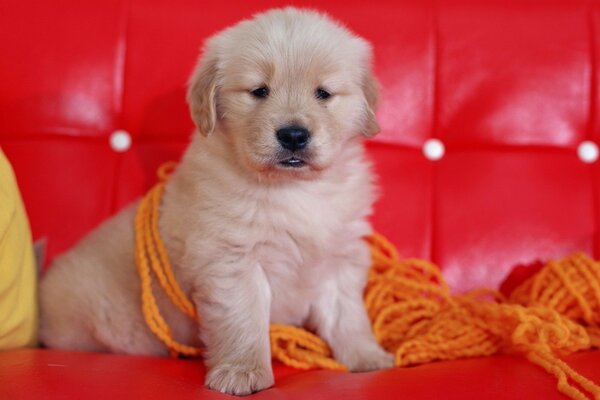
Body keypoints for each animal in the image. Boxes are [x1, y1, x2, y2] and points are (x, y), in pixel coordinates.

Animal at [38, 7, 394, 396]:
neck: (292, 190)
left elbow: (348, 315)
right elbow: (244, 320)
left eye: (323, 93)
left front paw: (367, 356)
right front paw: (243, 372)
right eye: (259, 91)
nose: (294, 135)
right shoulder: (232, 260)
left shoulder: (340, 258)